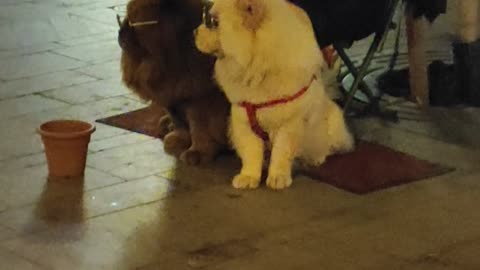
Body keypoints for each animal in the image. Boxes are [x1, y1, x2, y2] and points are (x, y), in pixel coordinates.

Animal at [116, 0, 229, 165]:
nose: (120, 32)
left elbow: (200, 128)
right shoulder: (173, 96)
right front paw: (178, 140)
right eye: (124, 19)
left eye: (132, 21)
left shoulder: (200, 98)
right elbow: (181, 124)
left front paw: (196, 153)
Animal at [193, 0, 354, 190]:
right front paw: (248, 177)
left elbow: (281, 153)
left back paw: (316, 158)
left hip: (332, 125)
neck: (257, 70)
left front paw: (278, 178)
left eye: (212, 22)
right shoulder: (243, 121)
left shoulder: (288, 124)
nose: (194, 32)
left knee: (327, 146)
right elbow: (251, 153)